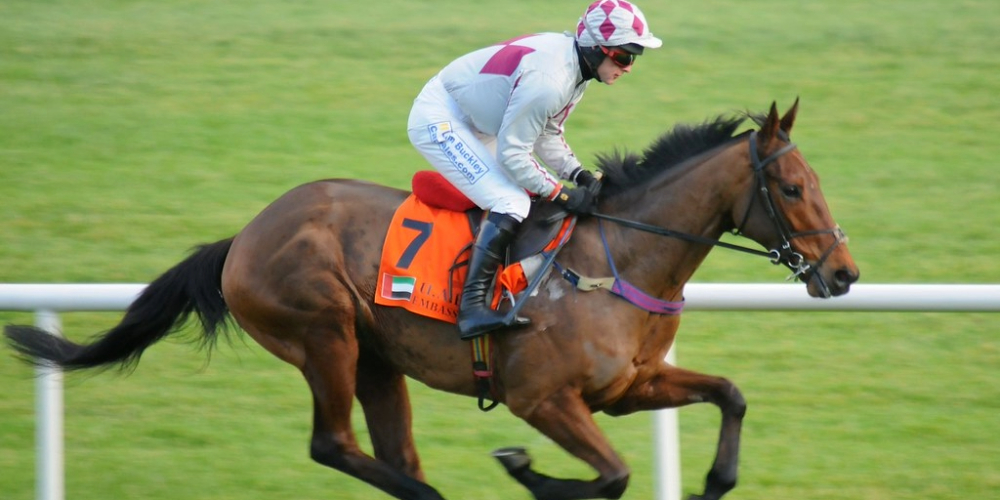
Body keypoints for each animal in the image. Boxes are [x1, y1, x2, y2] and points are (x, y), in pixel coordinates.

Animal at [5, 100, 858, 500]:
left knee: (384, 451)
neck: (617, 258)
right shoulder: (543, 399)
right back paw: (432, 492)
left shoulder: (629, 388)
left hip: (378, 360)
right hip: (325, 334)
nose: (844, 273)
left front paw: (714, 480)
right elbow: (611, 474)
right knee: (332, 445)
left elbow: (731, 394)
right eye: (791, 188)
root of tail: (244, 235)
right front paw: (523, 469)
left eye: (815, 180)